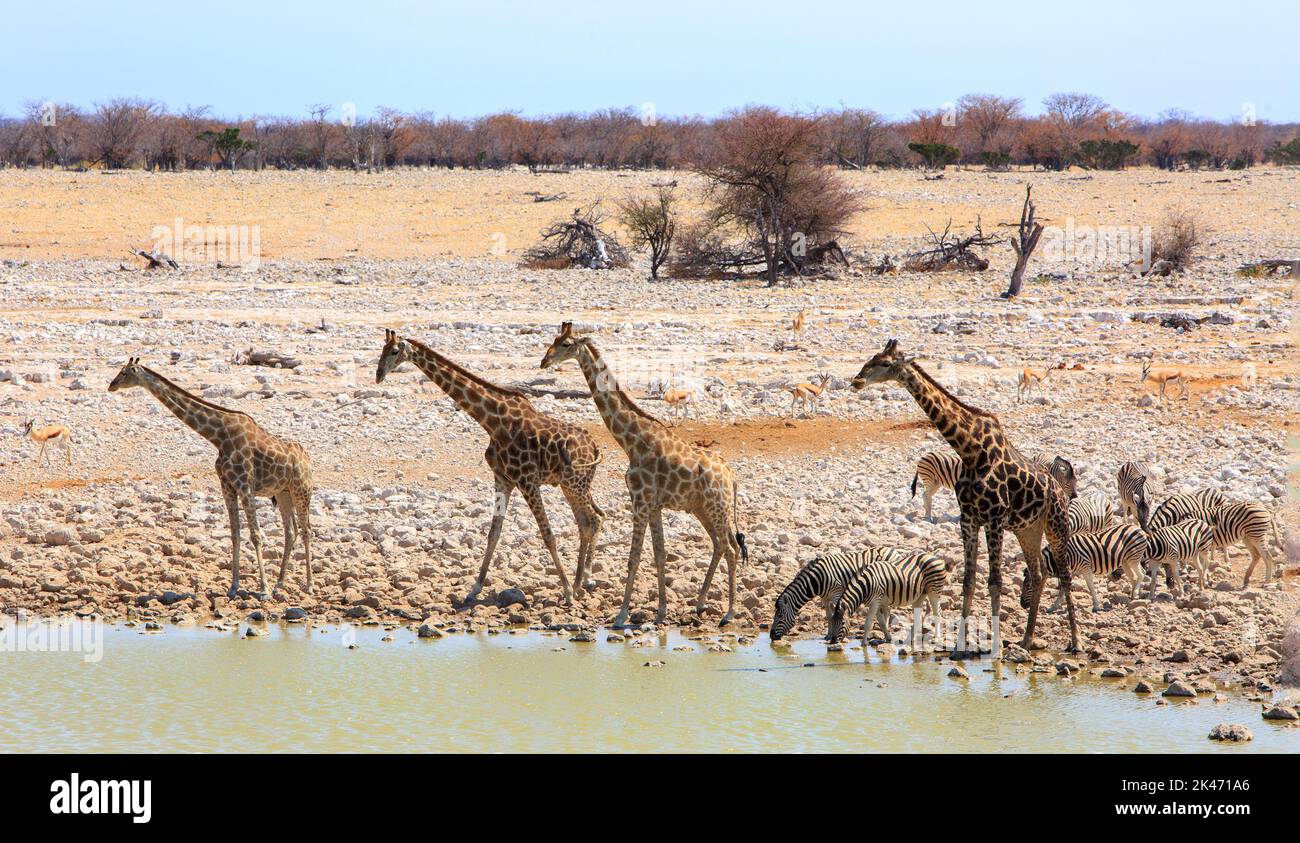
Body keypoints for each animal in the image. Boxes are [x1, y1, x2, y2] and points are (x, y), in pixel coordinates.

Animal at [107, 356, 314, 598]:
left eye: (125, 372)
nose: (111, 385)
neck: (219, 437)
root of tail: (308, 460)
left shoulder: (245, 485)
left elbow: (256, 535)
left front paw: (262, 590)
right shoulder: (227, 486)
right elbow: (235, 534)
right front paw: (233, 587)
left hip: (302, 491)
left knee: (307, 531)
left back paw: (308, 586)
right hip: (283, 493)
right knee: (291, 531)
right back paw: (280, 583)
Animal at [374, 329, 600, 606]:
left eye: (394, 351)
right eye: (382, 350)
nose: (379, 374)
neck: (493, 422)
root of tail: (594, 446)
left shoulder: (527, 481)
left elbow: (547, 534)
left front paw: (565, 591)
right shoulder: (502, 479)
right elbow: (493, 534)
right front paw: (474, 588)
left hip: (576, 484)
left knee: (592, 520)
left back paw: (577, 585)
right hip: (570, 485)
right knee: (587, 522)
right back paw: (580, 583)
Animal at [538, 321, 748, 624]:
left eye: (565, 344)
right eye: (553, 340)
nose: (544, 361)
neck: (632, 442)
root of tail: (732, 477)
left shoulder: (639, 500)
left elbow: (634, 557)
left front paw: (621, 615)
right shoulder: (654, 505)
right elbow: (659, 554)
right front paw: (660, 612)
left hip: (715, 507)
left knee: (730, 548)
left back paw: (729, 612)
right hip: (703, 508)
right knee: (722, 544)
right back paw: (700, 603)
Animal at [847, 338, 1081, 655]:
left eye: (885, 363)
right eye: (871, 358)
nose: (857, 380)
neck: (969, 449)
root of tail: (1059, 490)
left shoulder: (994, 519)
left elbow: (994, 582)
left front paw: (995, 649)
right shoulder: (968, 518)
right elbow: (969, 582)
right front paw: (960, 646)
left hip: (1056, 524)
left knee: (1065, 576)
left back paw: (1075, 642)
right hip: (1027, 529)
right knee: (1038, 573)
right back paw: (1026, 639)